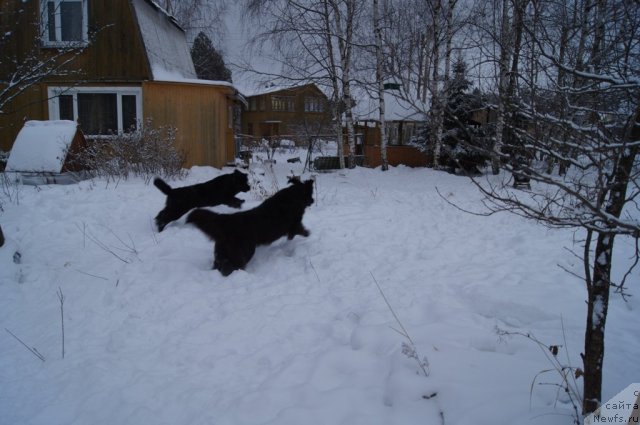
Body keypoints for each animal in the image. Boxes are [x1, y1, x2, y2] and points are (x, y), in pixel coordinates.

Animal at [185, 178, 316, 274]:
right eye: (310, 194)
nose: (313, 201)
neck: (293, 198)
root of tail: (228, 221)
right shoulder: (294, 224)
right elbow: (299, 230)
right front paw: (307, 233)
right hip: (244, 251)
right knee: (232, 267)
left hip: (221, 252)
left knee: (219, 265)